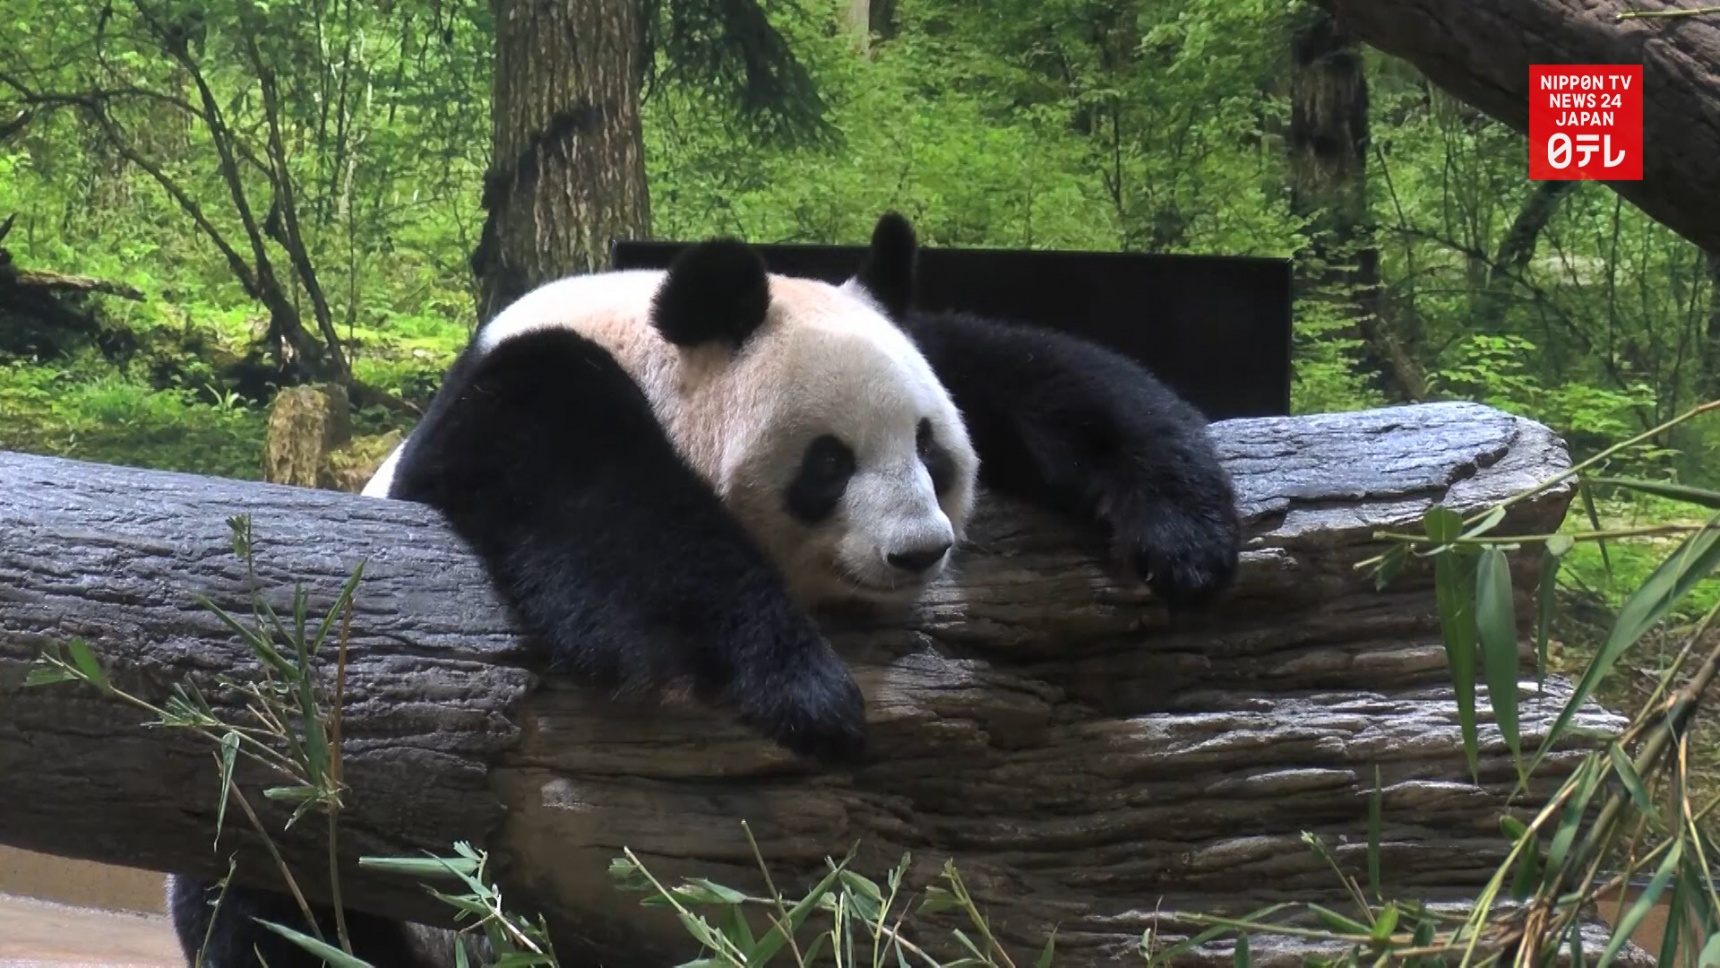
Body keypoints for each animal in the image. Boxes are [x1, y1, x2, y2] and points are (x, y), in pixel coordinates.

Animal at [164, 212, 1238, 968]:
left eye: (931, 450)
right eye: (828, 465)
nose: (921, 551)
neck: (648, 344)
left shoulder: (927, 346)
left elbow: (1039, 373)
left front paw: (1186, 535)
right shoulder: (518, 403)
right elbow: (615, 518)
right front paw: (802, 688)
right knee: (271, 902)